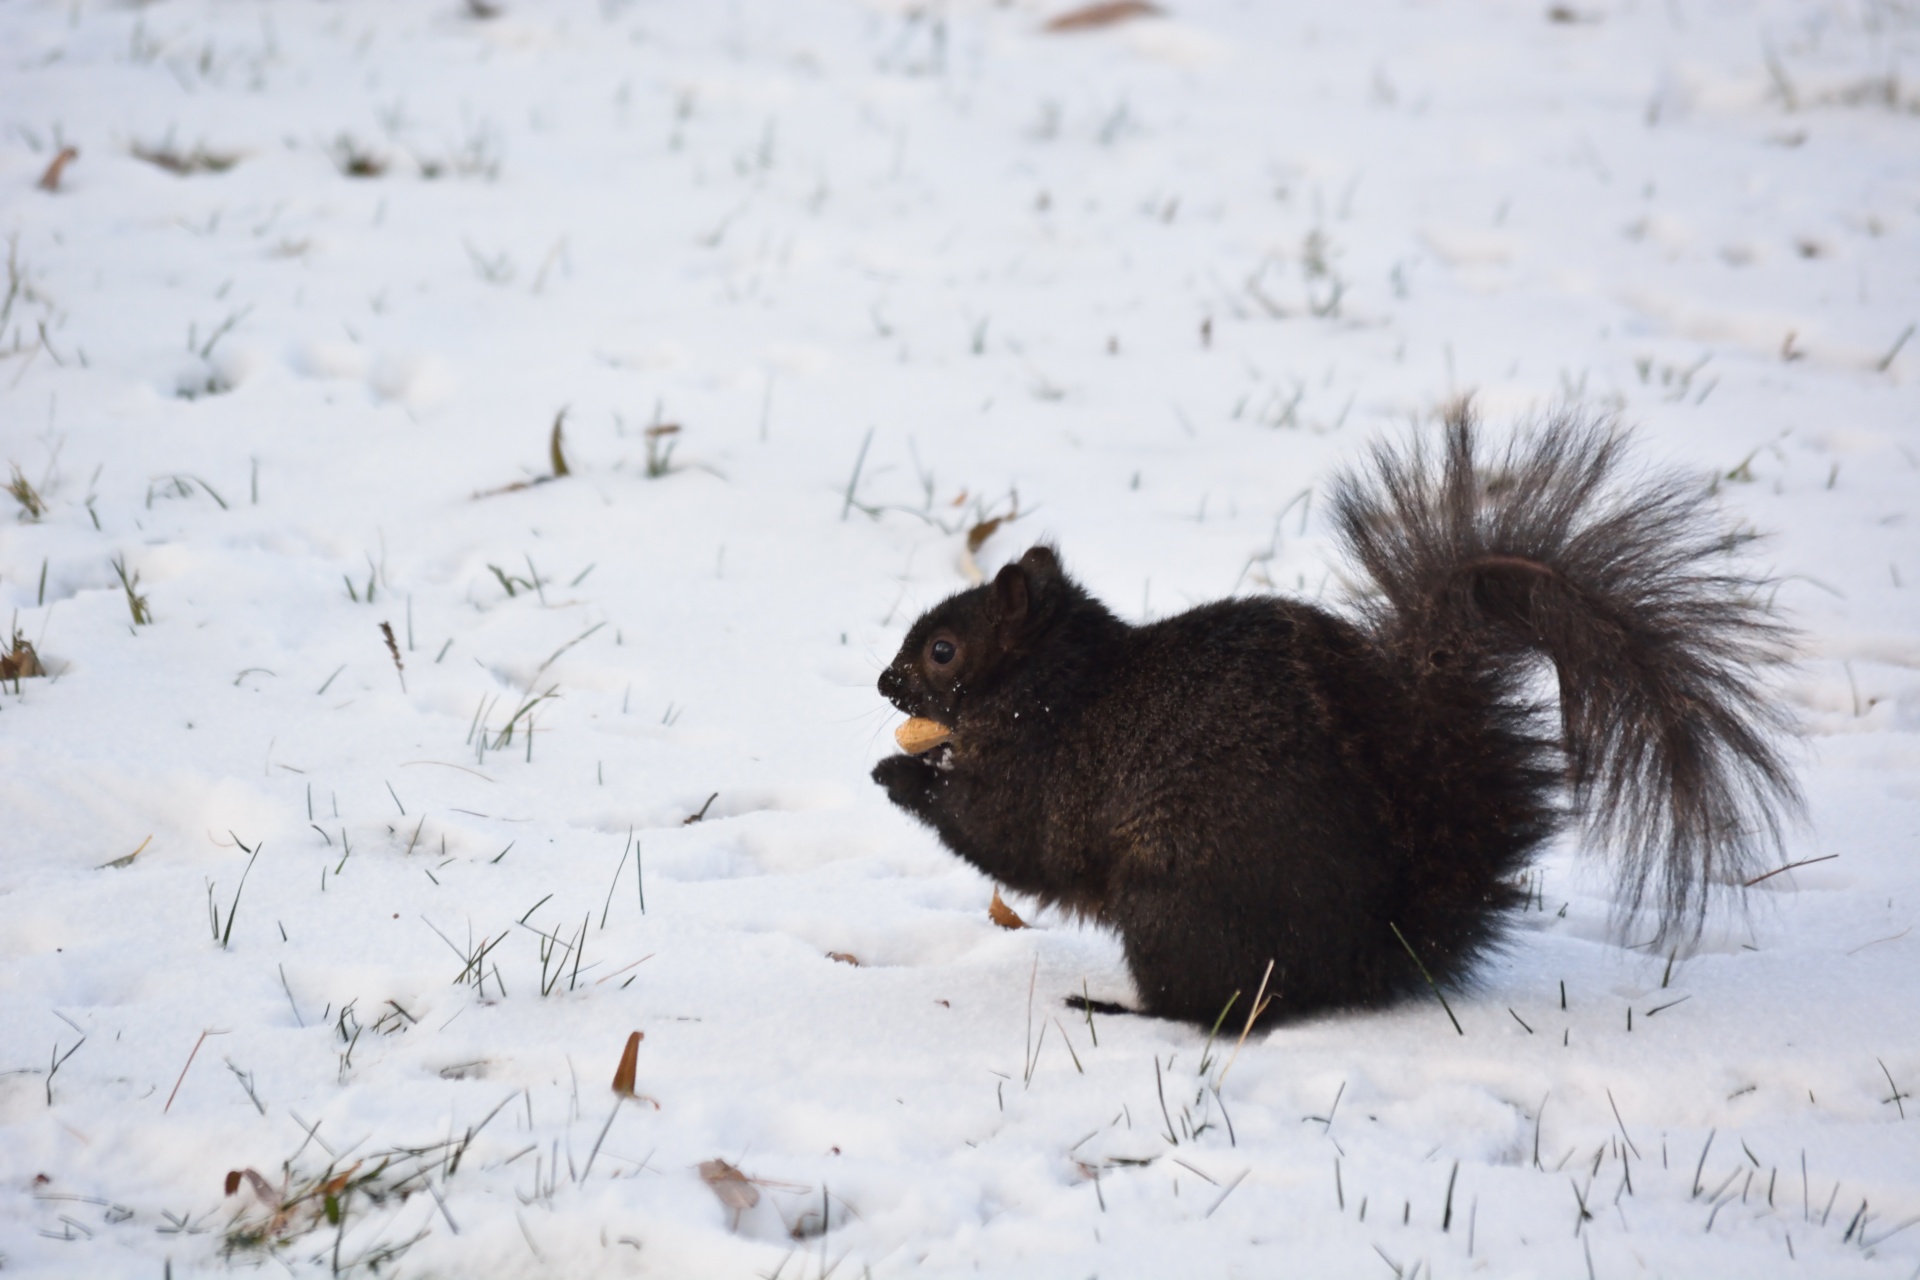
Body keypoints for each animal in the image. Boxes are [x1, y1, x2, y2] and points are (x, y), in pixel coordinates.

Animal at [871, 410, 1797, 1028]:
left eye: (944, 651)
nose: (884, 682)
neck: (1053, 678)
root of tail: (1366, 959)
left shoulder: (1044, 767)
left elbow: (1002, 832)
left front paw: (900, 772)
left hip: (1171, 909)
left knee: (1216, 1008)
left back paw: (1120, 1010)